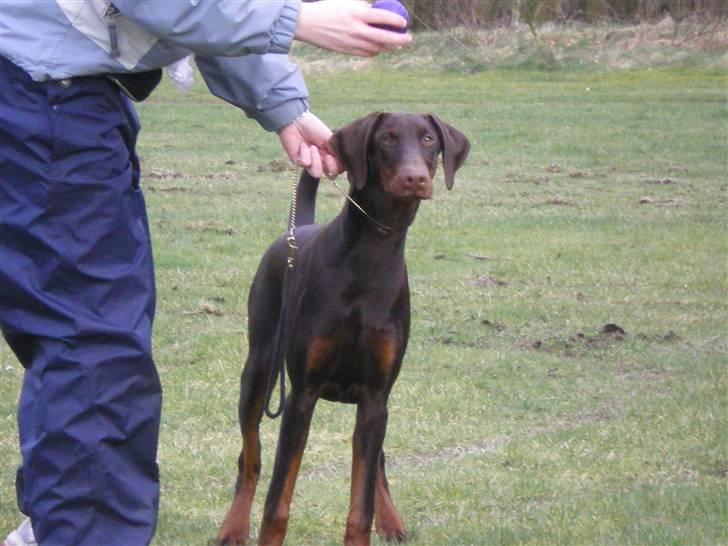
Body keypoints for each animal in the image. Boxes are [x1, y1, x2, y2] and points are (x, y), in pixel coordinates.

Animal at [216, 111, 470, 544]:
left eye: (429, 139)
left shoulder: (375, 395)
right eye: (386, 139)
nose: (415, 177)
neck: (372, 254)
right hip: (259, 370)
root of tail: (299, 227)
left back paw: (392, 519)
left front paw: (376, 519)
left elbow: (361, 503)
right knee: (250, 455)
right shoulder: (302, 395)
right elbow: (276, 502)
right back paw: (233, 526)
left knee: (377, 460)